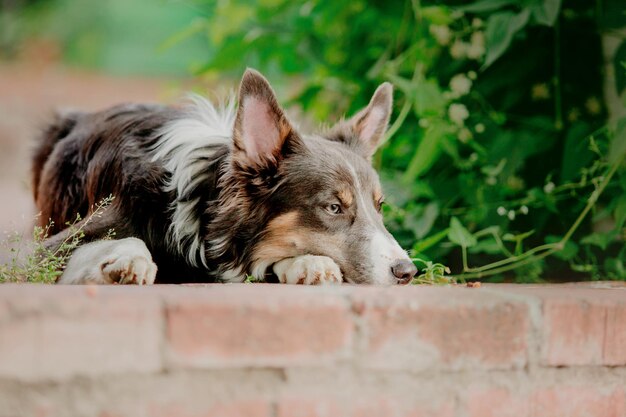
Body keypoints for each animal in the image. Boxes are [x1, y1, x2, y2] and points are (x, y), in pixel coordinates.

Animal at [33, 70, 414, 284]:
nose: (407, 272)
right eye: (333, 208)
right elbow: (125, 239)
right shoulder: (43, 250)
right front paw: (129, 260)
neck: (199, 205)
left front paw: (308, 262)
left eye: (379, 207)